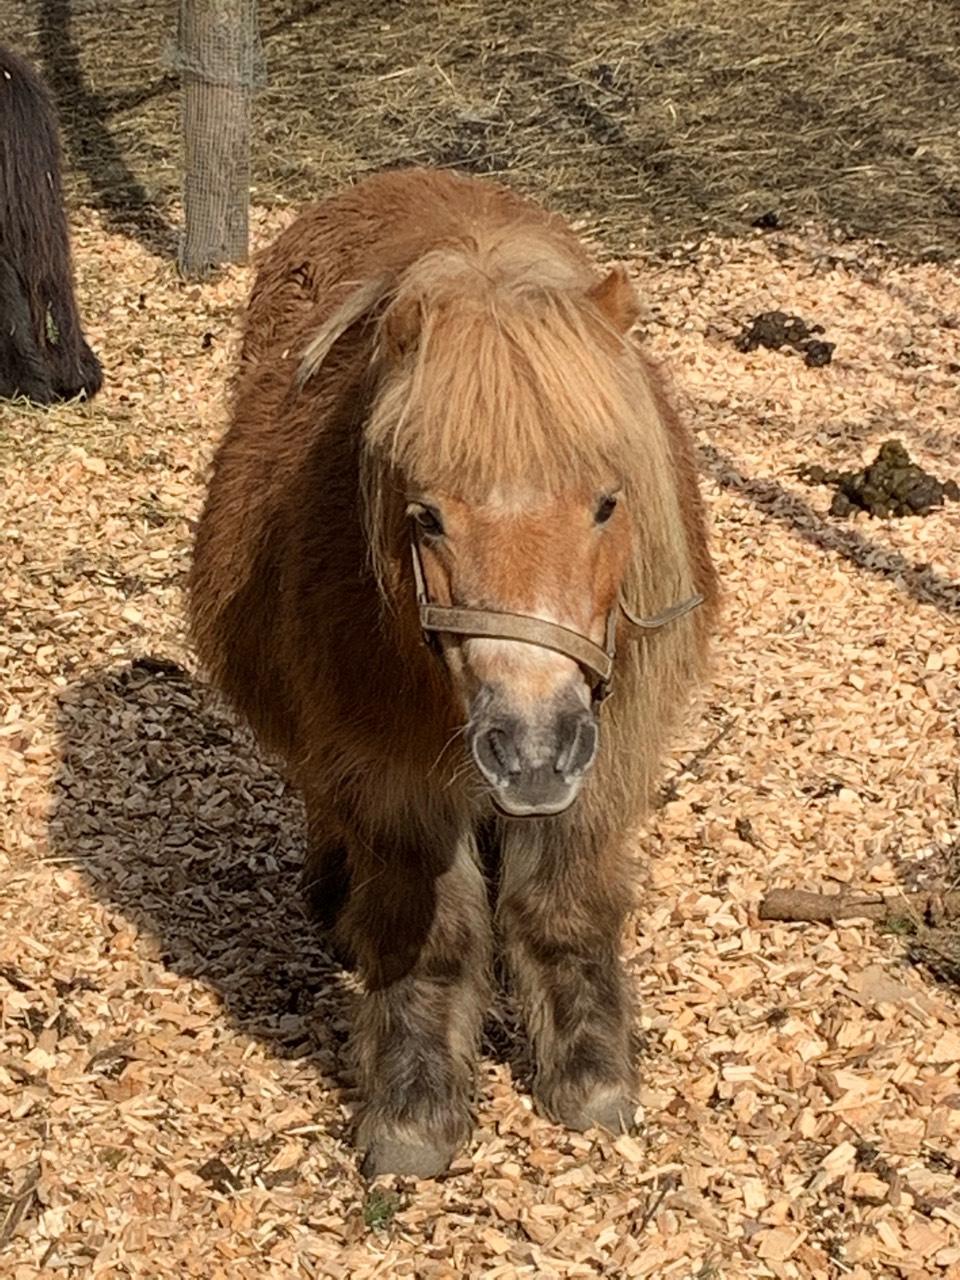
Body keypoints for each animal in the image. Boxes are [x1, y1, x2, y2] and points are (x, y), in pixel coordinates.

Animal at [189, 170, 716, 1177]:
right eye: (427, 515)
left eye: (607, 502)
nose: (533, 748)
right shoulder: (389, 776)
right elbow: (425, 938)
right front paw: (416, 1110)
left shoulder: (604, 756)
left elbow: (563, 906)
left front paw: (590, 1078)